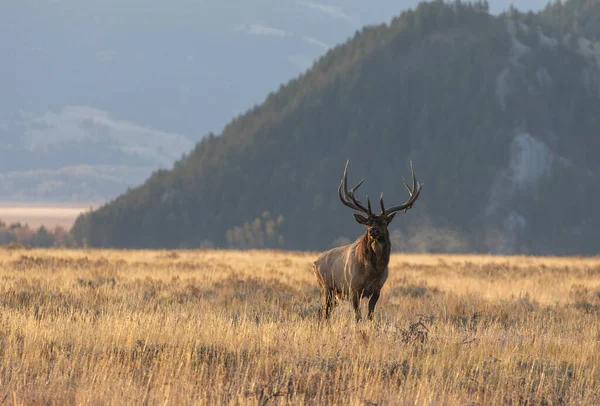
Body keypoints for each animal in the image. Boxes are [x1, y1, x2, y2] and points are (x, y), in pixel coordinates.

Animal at [314, 160, 422, 322]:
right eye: (367, 223)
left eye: (384, 222)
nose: (373, 231)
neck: (372, 272)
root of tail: (315, 263)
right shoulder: (353, 288)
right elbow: (358, 316)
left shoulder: (377, 289)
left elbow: (370, 315)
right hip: (326, 287)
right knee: (324, 312)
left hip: (334, 293)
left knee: (324, 311)